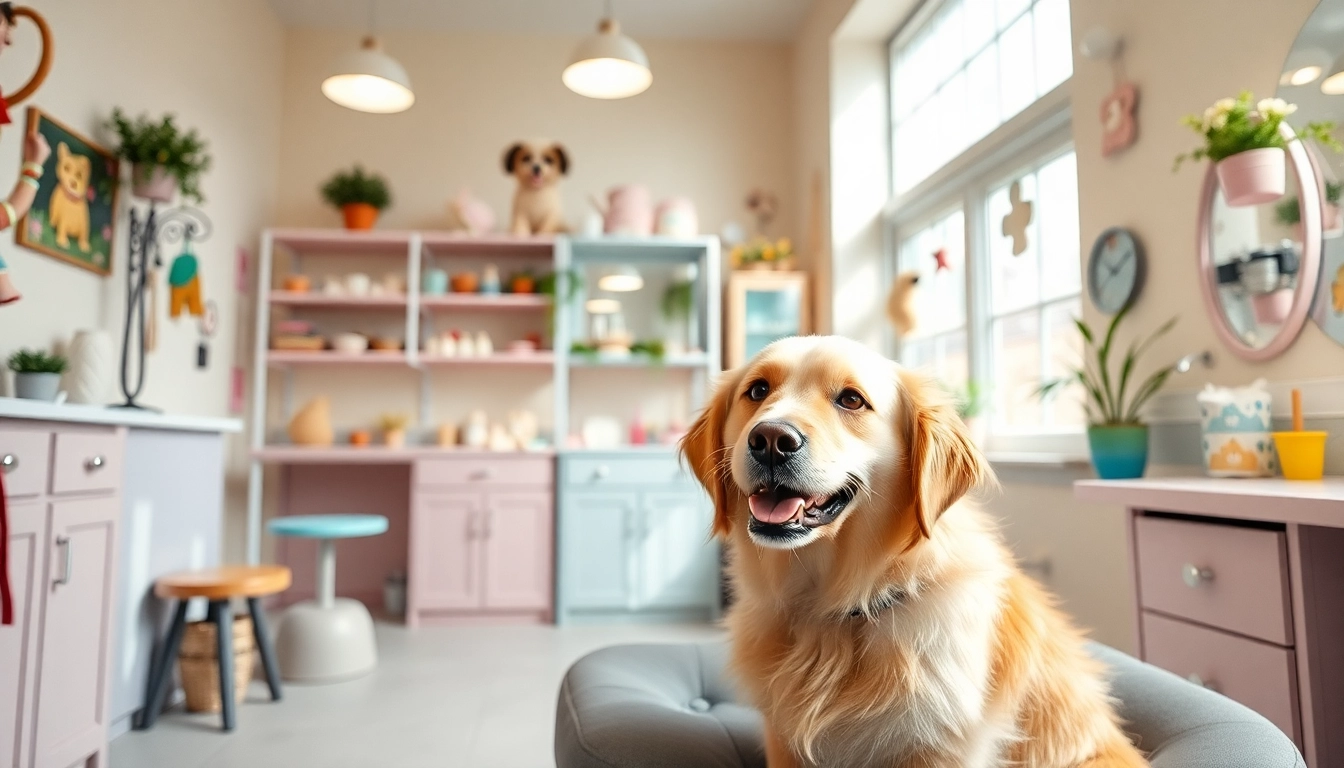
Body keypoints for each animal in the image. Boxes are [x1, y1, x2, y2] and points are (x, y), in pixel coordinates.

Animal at [682, 337, 1145, 768]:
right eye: (758, 390)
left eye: (851, 399)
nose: (771, 440)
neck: (835, 610)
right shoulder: (783, 742)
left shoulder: (940, 747)